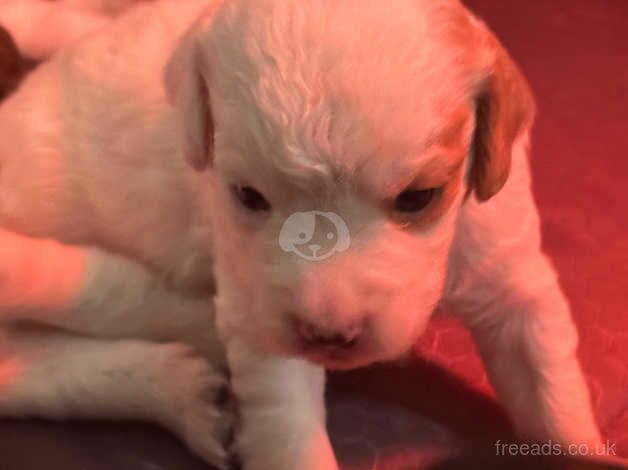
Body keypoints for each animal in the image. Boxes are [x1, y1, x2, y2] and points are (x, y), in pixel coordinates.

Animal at [0, 0, 604, 470]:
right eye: (248, 196)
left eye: (418, 197)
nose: (329, 338)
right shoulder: (260, 310)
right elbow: (286, 422)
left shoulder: (506, 263)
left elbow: (548, 387)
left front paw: (584, 447)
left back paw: (184, 393)